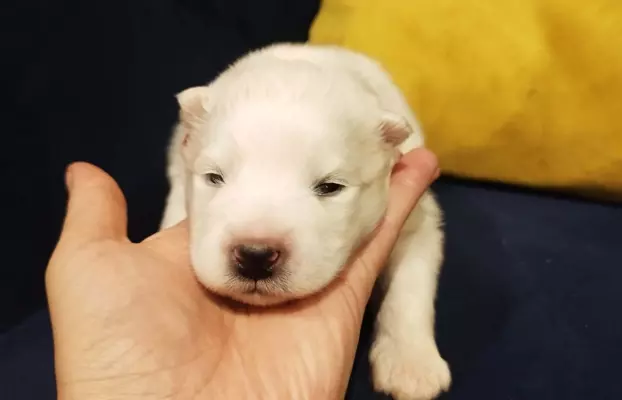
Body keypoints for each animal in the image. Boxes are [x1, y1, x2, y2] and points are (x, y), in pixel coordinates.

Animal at [161, 42, 454, 398]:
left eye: (330, 187)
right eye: (214, 178)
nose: (255, 255)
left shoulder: (418, 220)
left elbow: (409, 287)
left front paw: (412, 368)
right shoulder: (181, 178)